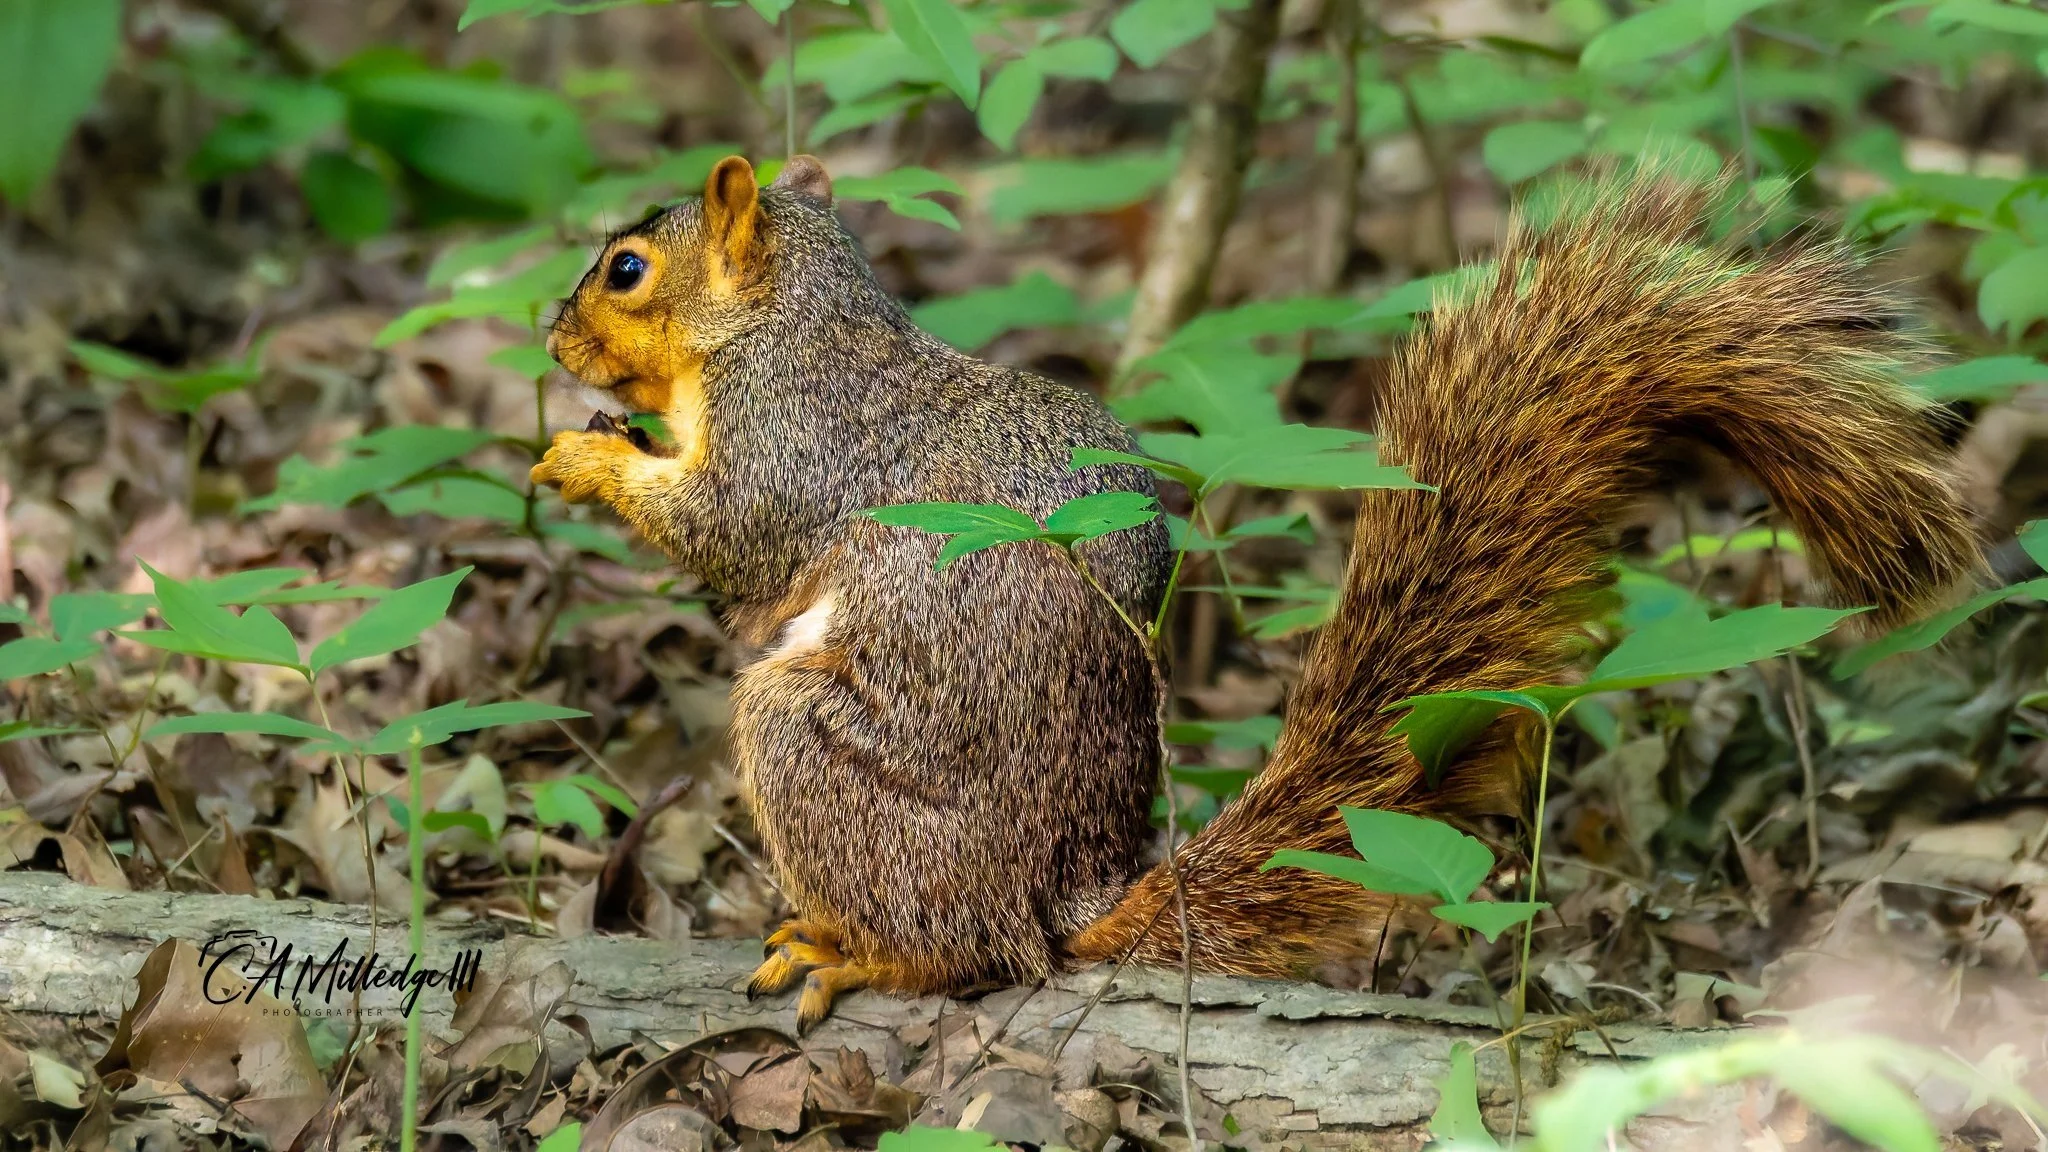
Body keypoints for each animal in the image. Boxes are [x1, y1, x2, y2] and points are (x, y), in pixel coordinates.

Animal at [533, 155, 1980, 1031]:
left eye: (625, 269)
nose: (548, 338)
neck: (785, 324)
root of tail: (1071, 899)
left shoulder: (801, 440)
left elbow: (734, 534)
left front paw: (585, 457)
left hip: (822, 756)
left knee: (972, 949)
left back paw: (860, 947)